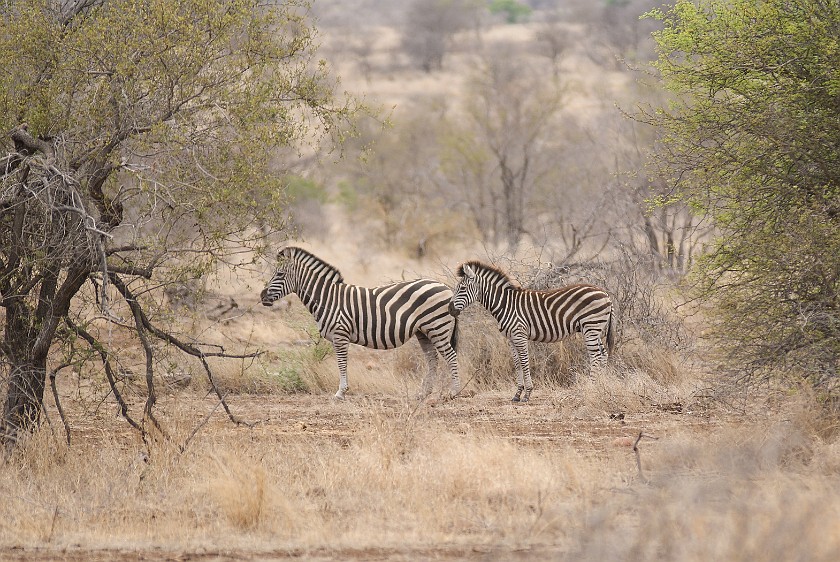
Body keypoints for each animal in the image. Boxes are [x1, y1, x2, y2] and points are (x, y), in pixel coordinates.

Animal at [260, 246, 462, 398]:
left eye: (279, 274)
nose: (262, 297)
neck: (327, 298)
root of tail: (444, 286)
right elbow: (342, 363)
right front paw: (342, 391)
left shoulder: (340, 334)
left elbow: (341, 363)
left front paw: (341, 392)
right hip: (424, 331)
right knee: (433, 359)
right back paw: (424, 393)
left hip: (437, 327)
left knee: (451, 356)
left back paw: (454, 392)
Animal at [450, 260, 612, 400]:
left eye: (462, 289)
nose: (450, 309)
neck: (505, 304)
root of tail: (605, 293)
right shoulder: (510, 338)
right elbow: (517, 363)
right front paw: (517, 394)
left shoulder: (519, 335)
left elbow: (524, 361)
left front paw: (527, 394)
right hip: (595, 329)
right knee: (603, 354)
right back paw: (601, 385)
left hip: (591, 327)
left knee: (595, 356)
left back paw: (591, 387)